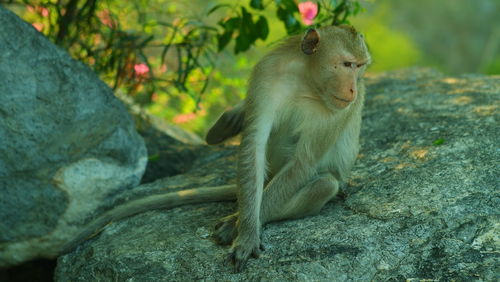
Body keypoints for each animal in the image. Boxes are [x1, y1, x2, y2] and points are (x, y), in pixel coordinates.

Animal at [60, 24, 370, 274]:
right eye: (347, 64)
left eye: (361, 67)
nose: (354, 90)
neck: (306, 80)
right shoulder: (268, 73)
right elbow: (253, 146)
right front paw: (246, 232)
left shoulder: (339, 111)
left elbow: (303, 164)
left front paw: (238, 229)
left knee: (324, 184)